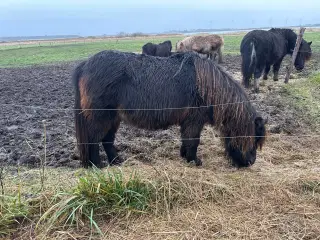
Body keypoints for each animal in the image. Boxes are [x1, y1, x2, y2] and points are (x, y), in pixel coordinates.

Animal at [72, 50, 268, 169]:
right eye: (253, 138)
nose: (250, 162)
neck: (209, 86)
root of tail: (85, 64)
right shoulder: (195, 120)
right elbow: (193, 140)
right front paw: (194, 161)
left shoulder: (188, 121)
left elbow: (186, 140)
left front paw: (184, 156)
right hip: (101, 118)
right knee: (93, 141)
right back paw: (97, 166)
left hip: (114, 118)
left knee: (107, 140)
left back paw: (116, 161)